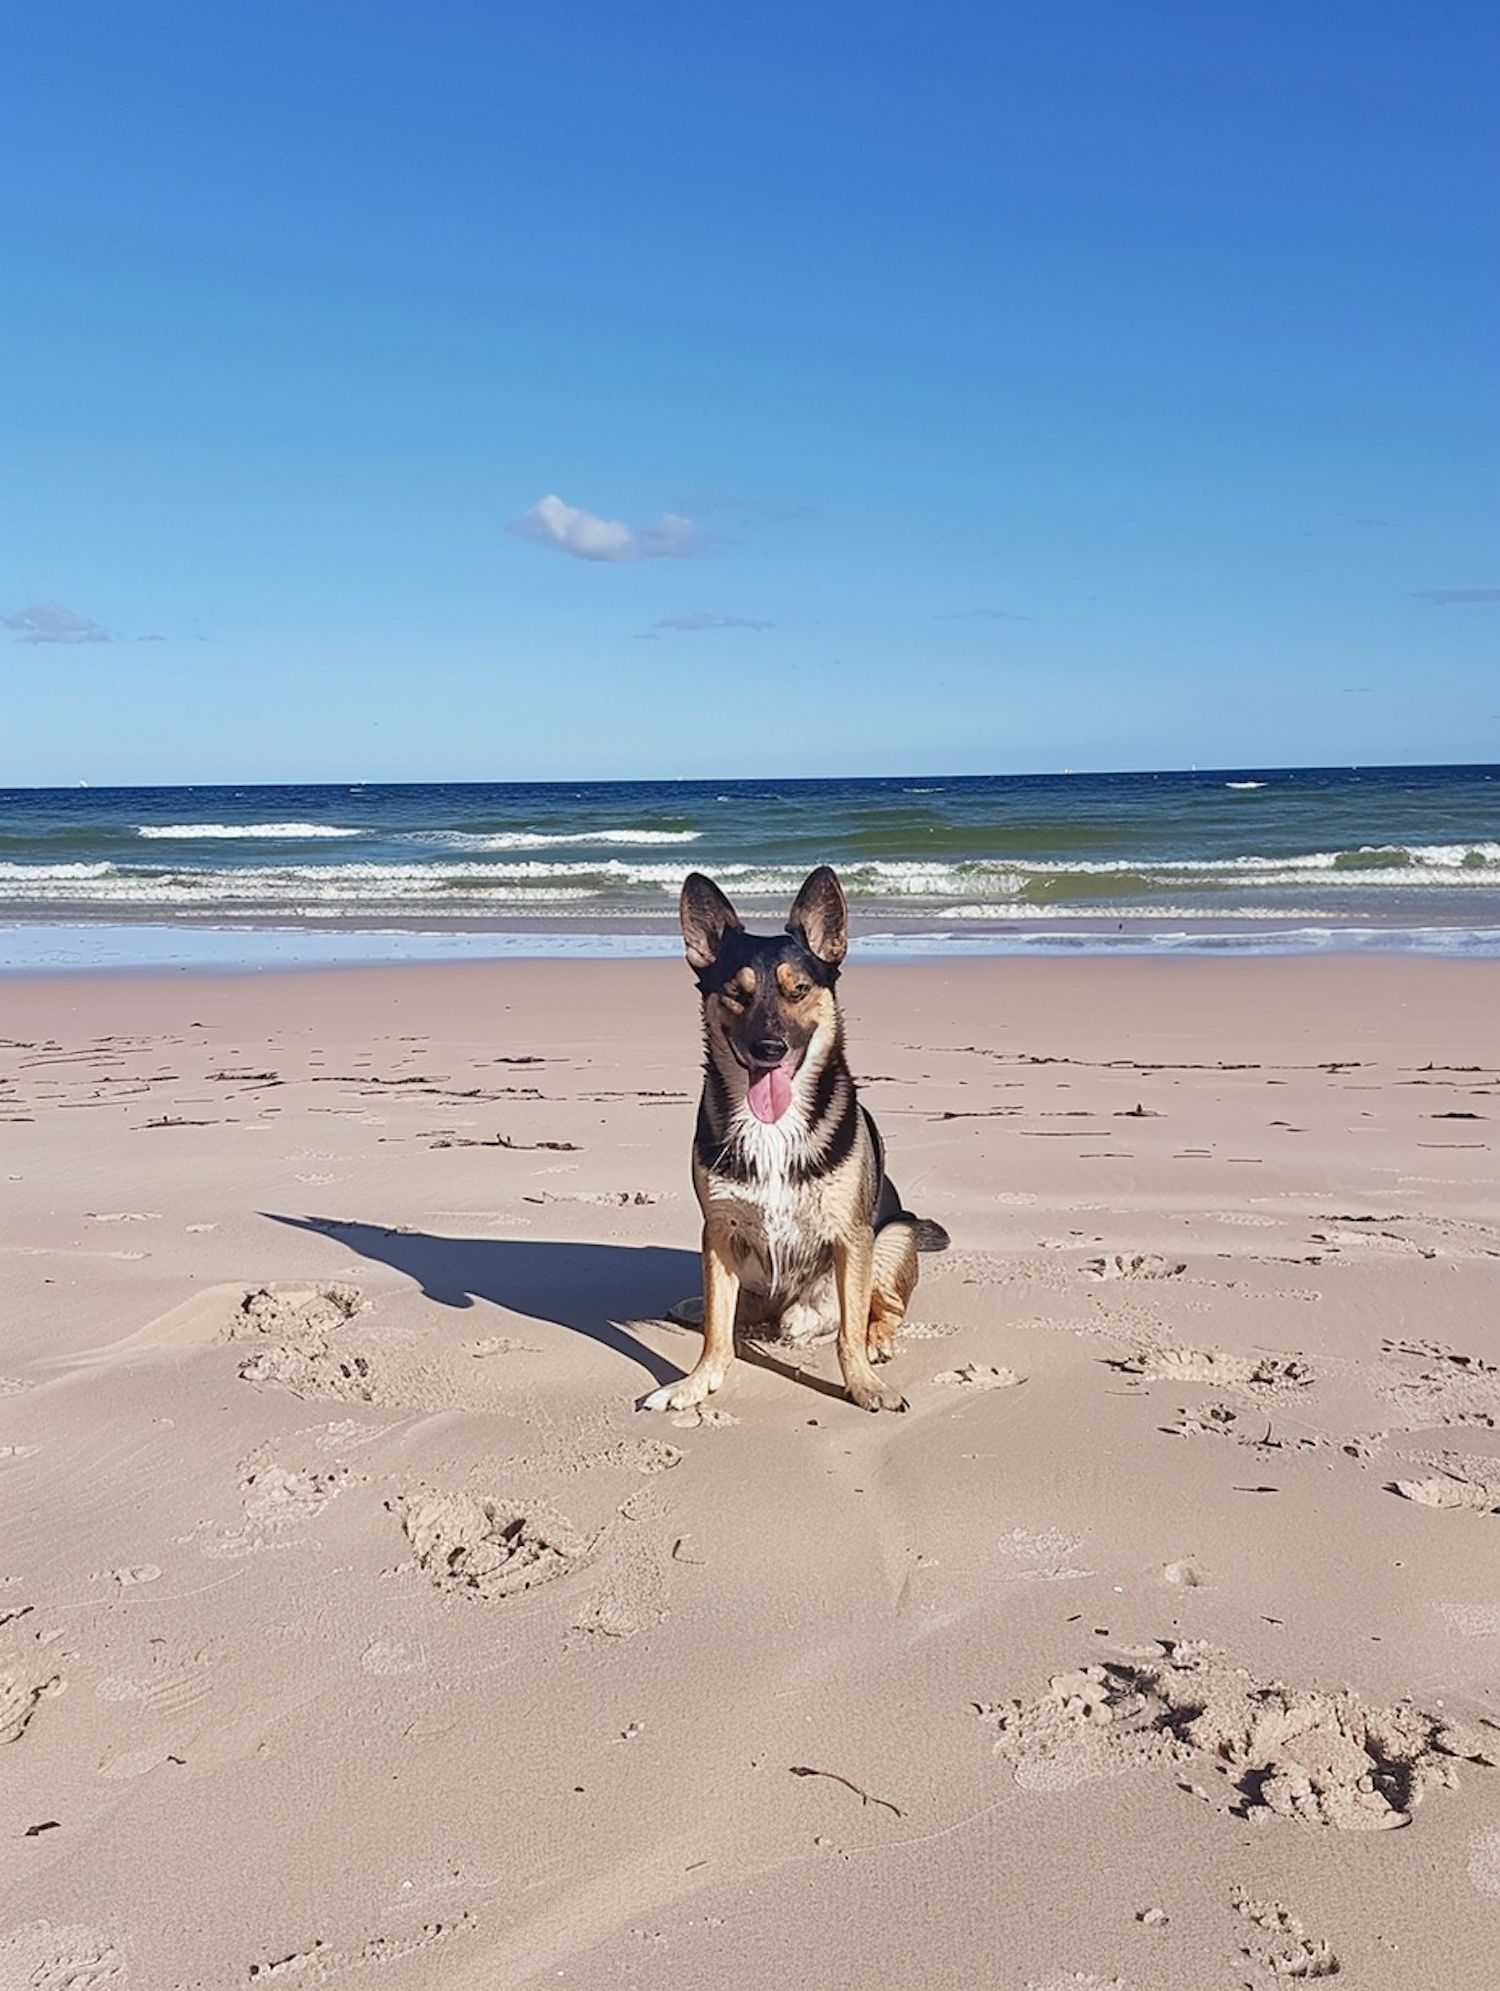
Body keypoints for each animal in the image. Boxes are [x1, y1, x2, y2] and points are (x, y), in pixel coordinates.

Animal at [641, 868, 948, 1417]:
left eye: (799, 989)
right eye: (735, 993)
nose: (769, 1048)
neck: (773, 1126)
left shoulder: (852, 1237)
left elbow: (848, 1334)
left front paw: (863, 1384)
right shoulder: (718, 1233)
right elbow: (717, 1331)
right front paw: (696, 1383)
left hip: (893, 1236)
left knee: (877, 1310)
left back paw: (878, 1340)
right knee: (740, 1309)